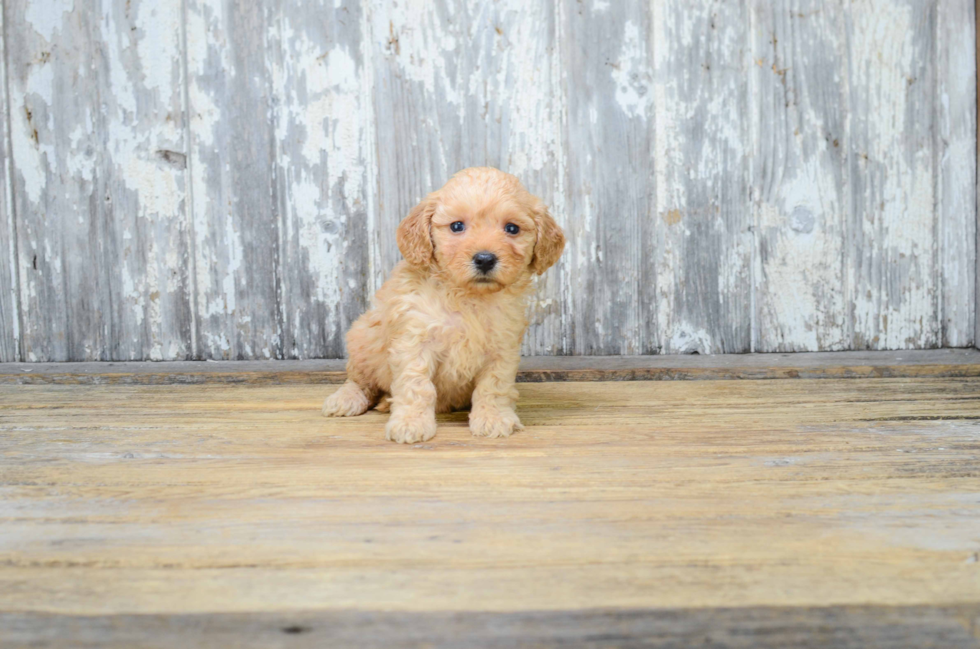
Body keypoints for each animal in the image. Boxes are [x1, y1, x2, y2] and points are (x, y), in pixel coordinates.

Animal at [324, 166, 568, 440]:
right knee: (359, 381)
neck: (467, 296)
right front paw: (411, 423)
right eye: (457, 226)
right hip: (363, 339)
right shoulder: (414, 339)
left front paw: (492, 418)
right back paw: (346, 399)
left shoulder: (502, 347)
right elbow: (416, 385)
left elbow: (494, 385)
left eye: (512, 229)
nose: (485, 259)